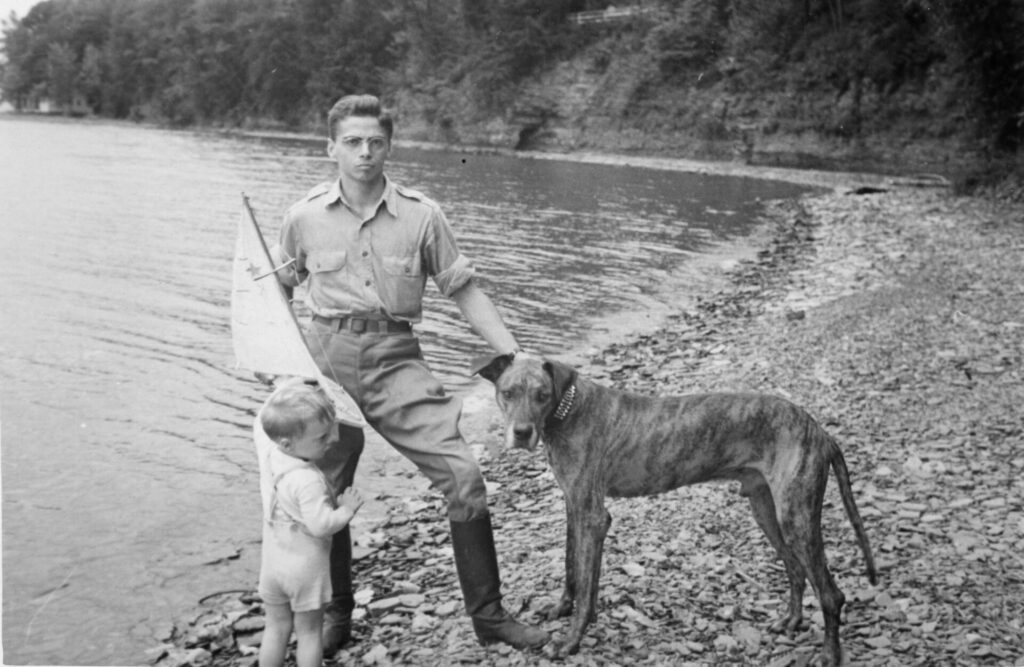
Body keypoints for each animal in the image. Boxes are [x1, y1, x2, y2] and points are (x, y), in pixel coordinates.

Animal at [473, 352, 877, 665]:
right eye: (507, 393)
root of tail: (819, 430)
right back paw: (790, 621)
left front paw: (571, 642)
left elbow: (587, 588)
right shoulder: (575, 507)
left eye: (542, 395)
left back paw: (829, 654)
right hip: (767, 509)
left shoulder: (593, 516)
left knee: (831, 593)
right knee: (795, 569)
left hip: (796, 516)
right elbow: (572, 569)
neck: (567, 412)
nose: (521, 433)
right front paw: (561, 610)